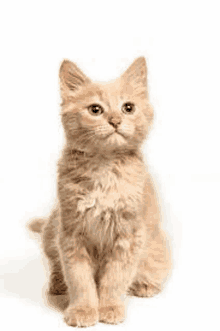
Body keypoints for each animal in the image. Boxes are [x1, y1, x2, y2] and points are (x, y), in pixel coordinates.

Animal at [27, 58, 172, 328]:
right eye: (95, 109)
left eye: (128, 107)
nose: (115, 121)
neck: (104, 168)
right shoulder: (71, 233)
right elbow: (79, 279)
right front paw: (83, 310)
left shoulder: (128, 236)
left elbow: (115, 279)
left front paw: (110, 308)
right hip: (52, 227)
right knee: (55, 264)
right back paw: (57, 285)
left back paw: (146, 285)